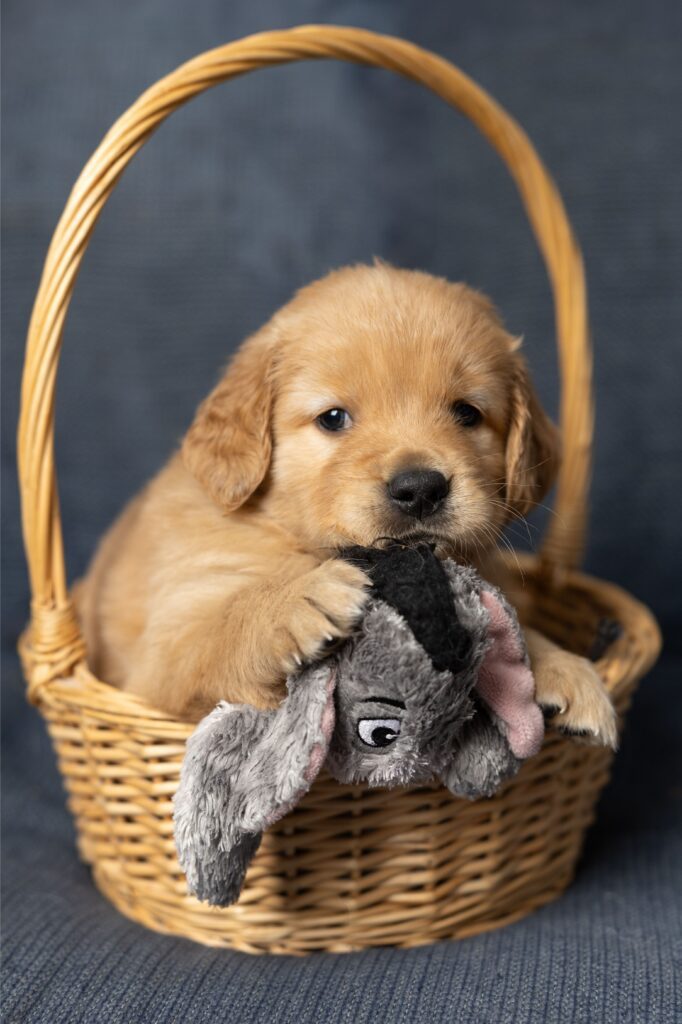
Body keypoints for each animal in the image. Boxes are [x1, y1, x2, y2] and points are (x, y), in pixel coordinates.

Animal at [75, 264, 614, 745]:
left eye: (467, 413)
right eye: (333, 418)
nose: (420, 488)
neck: (291, 535)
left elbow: (517, 628)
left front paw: (563, 668)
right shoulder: (158, 660)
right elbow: (221, 627)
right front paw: (300, 597)